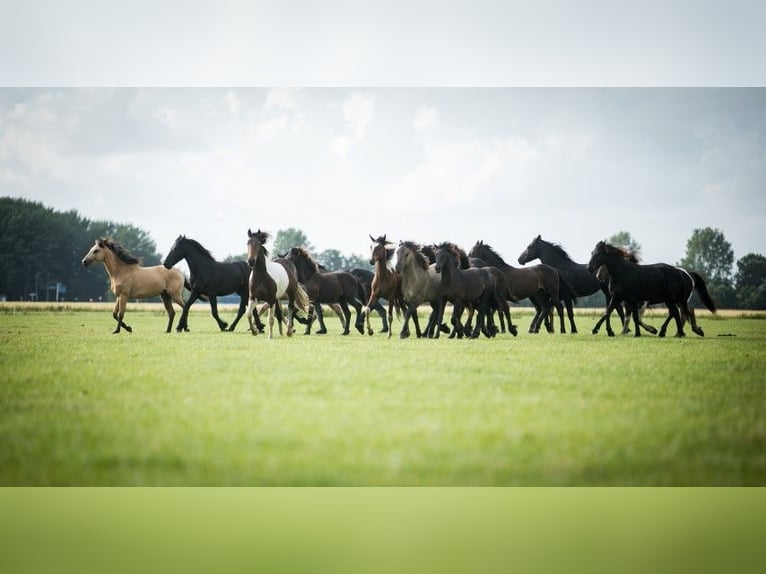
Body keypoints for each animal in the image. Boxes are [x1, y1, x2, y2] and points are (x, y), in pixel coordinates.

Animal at [588, 242, 720, 338]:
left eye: (598, 254)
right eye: (592, 252)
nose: (590, 269)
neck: (623, 274)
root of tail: (683, 273)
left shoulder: (634, 300)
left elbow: (635, 318)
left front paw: (640, 332)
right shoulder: (618, 298)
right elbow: (609, 312)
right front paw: (605, 331)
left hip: (673, 299)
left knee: (679, 313)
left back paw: (678, 332)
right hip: (673, 300)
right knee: (679, 312)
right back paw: (677, 332)